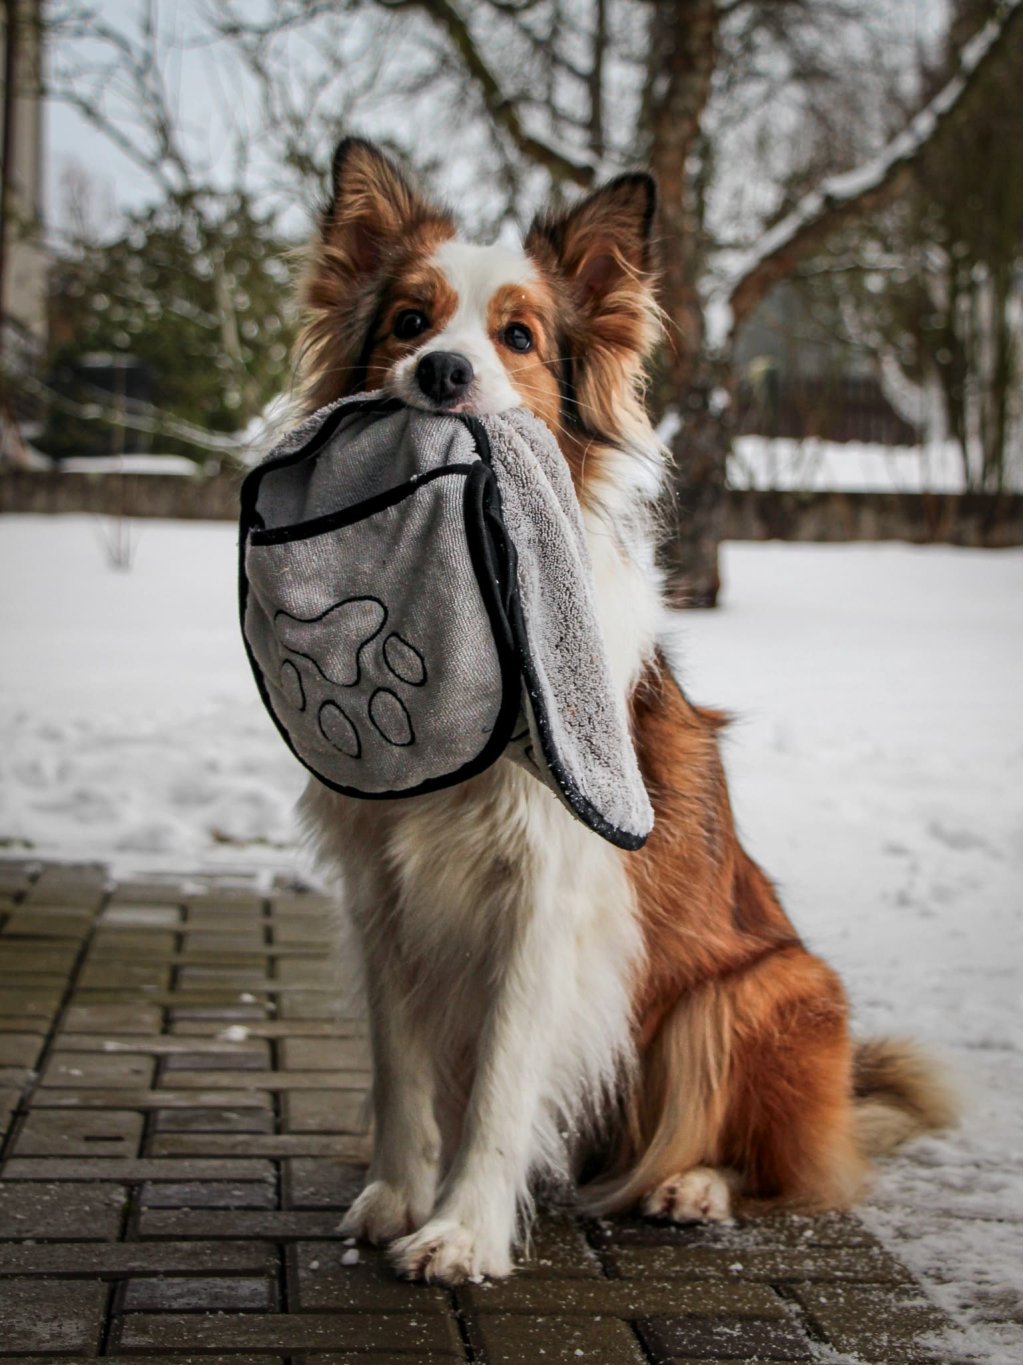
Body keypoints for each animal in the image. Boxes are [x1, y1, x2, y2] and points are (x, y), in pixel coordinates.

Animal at [292, 135, 961, 1277]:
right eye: (409, 321)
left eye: (517, 336)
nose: (441, 373)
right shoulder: (381, 890)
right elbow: (402, 1071)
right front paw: (397, 1197)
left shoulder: (547, 895)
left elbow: (504, 1081)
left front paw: (463, 1231)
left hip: (748, 994)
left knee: (778, 1166)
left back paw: (690, 1185)